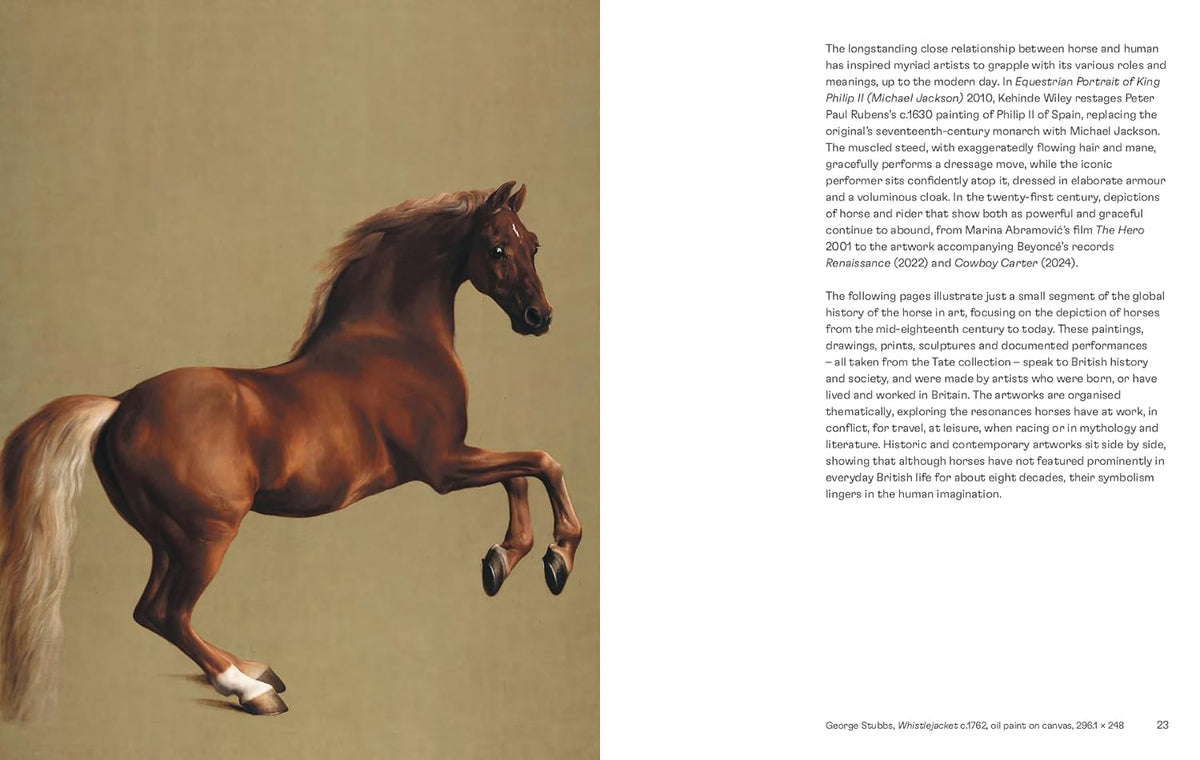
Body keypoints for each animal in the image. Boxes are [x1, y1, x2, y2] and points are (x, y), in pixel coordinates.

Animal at [0, 181, 582, 719]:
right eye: (496, 248)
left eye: (533, 243)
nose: (540, 317)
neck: (396, 343)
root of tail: (119, 405)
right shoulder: (444, 465)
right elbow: (541, 462)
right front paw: (557, 558)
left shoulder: (456, 459)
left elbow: (521, 473)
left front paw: (501, 561)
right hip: (207, 535)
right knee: (165, 613)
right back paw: (251, 689)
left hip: (167, 538)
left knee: (155, 612)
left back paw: (254, 670)